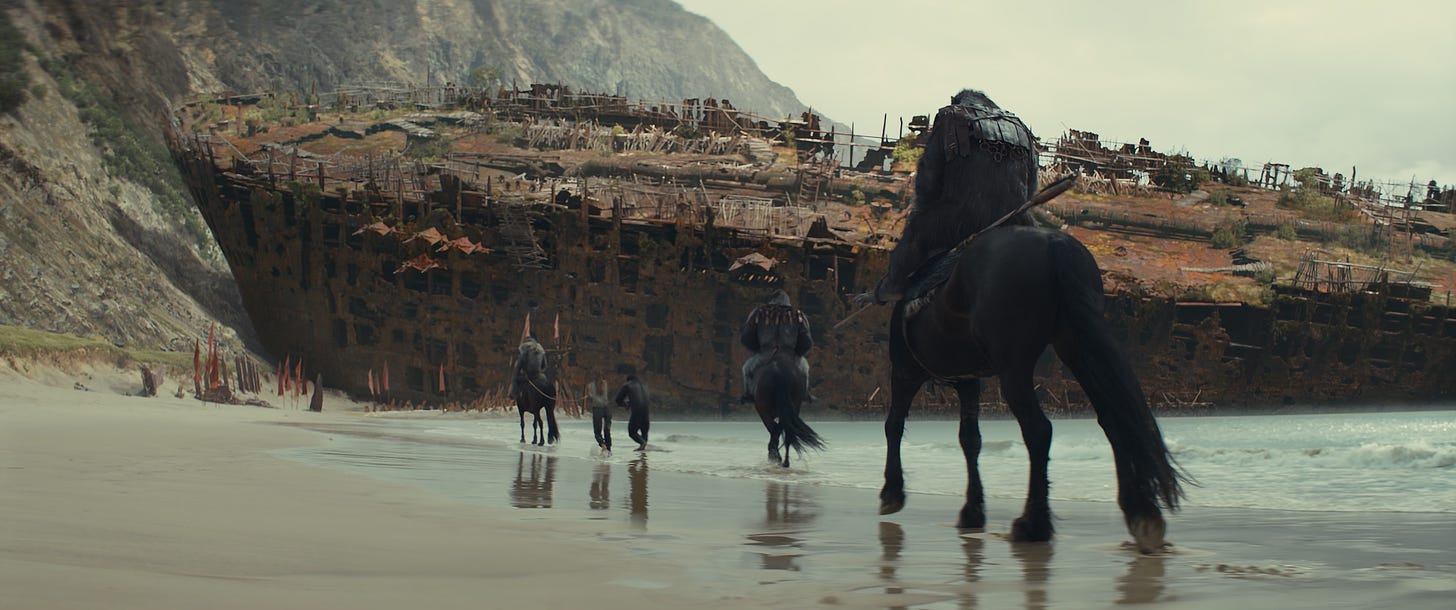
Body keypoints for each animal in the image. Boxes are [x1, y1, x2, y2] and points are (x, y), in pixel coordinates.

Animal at [867, 89, 1176, 553]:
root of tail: (1053, 247)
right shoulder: (968, 379)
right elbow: (970, 440)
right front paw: (972, 510)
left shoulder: (905, 369)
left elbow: (894, 426)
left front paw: (892, 492)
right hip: (1075, 346)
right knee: (1112, 417)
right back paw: (1141, 514)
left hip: (1014, 367)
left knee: (1039, 430)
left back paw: (1033, 523)